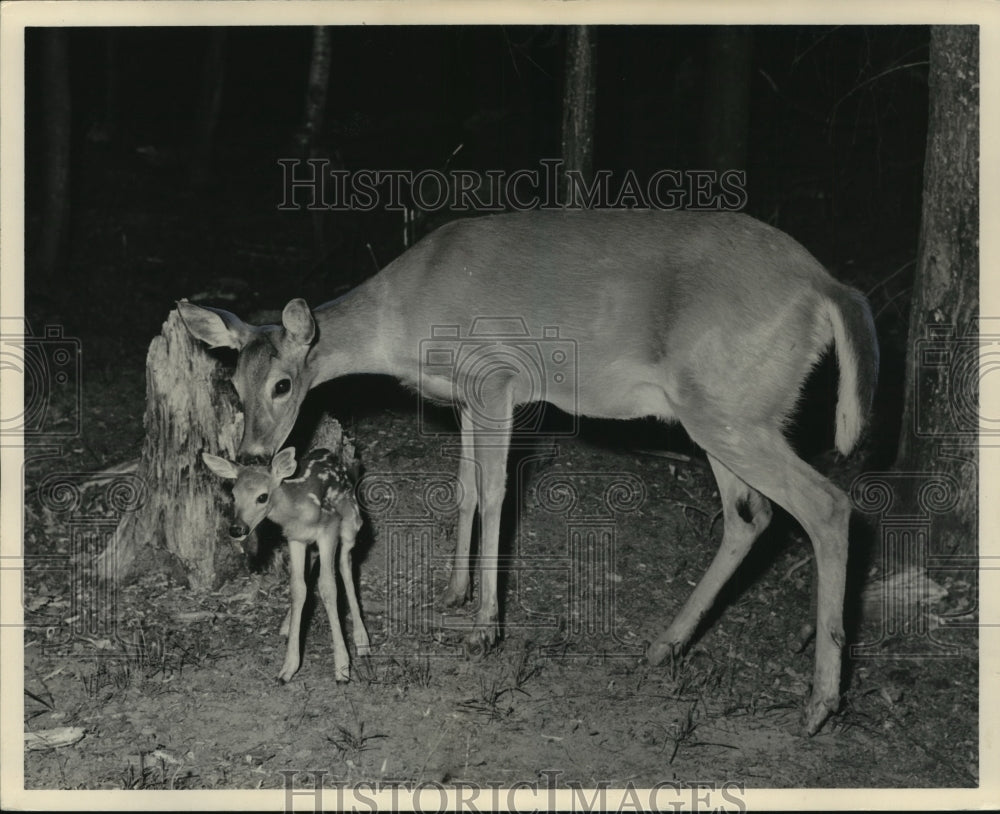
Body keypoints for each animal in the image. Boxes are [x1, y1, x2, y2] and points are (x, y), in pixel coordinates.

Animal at [201, 444, 370, 683]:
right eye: (233, 495)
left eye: (262, 497)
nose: (237, 529)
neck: (296, 510)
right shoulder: (295, 538)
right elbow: (298, 589)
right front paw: (288, 668)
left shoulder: (329, 527)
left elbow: (328, 587)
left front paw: (342, 669)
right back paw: (286, 625)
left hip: (352, 523)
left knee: (346, 564)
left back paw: (362, 640)